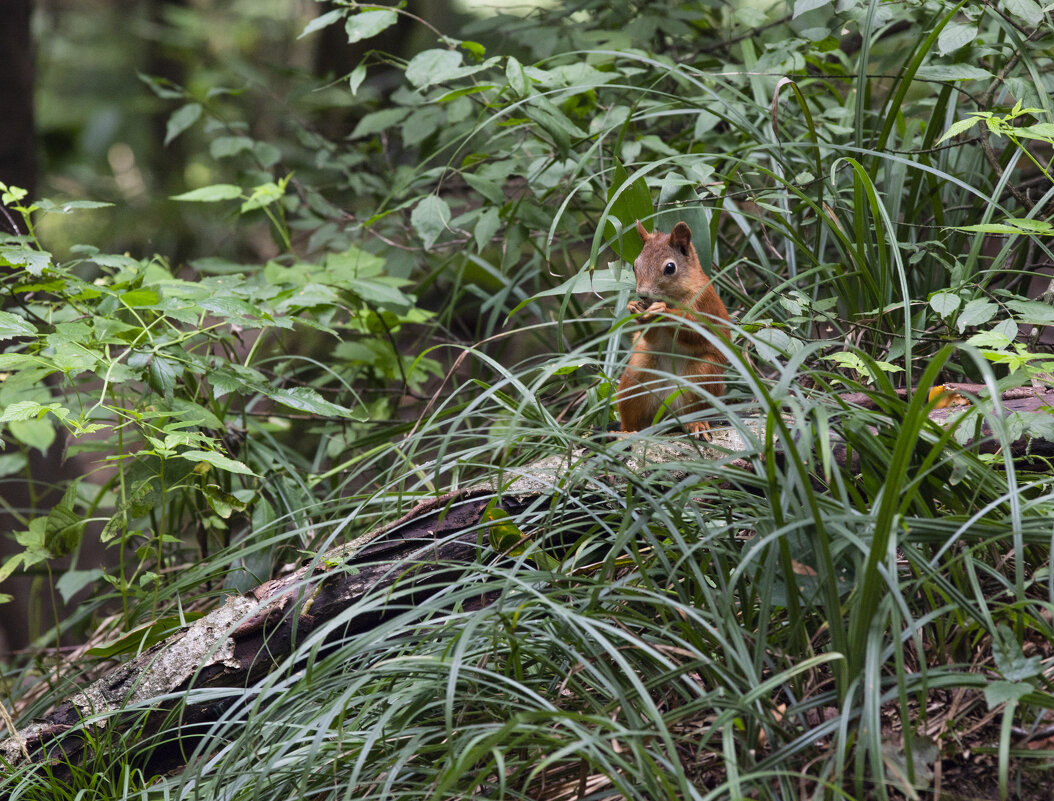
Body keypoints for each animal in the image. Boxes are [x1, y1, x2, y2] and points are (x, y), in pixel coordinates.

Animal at [619, 217, 729, 438]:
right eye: (634, 265)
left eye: (670, 268)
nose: (642, 294)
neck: (673, 298)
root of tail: (667, 414)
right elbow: (651, 337)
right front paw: (636, 309)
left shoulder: (704, 304)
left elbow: (694, 333)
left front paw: (663, 312)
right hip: (637, 375)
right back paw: (627, 431)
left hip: (703, 374)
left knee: (695, 408)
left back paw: (697, 424)